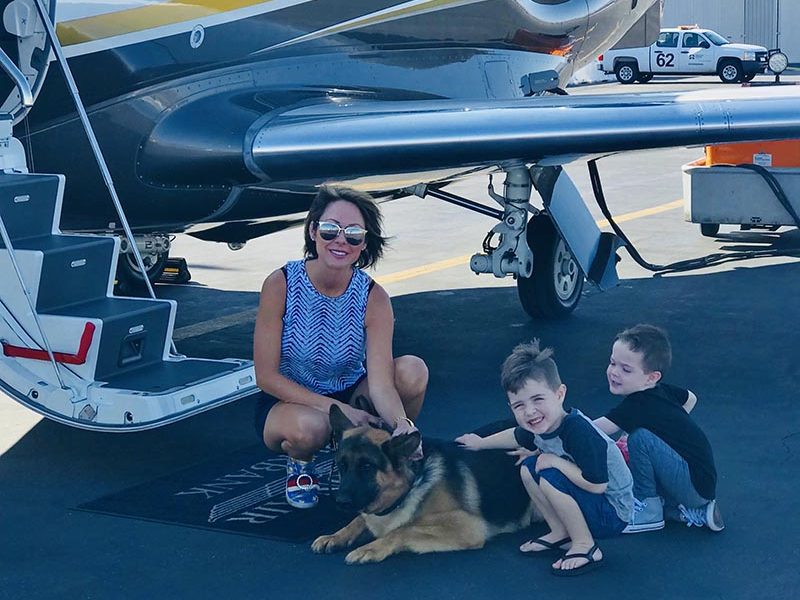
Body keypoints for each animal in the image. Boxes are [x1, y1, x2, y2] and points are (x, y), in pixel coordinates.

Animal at [312, 406, 536, 564]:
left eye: (367, 467)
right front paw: (335, 536)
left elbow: (404, 529)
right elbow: (358, 519)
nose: (340, 501)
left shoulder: (467, 527)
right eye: (341, 466)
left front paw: (371, 547)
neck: (412, 483)